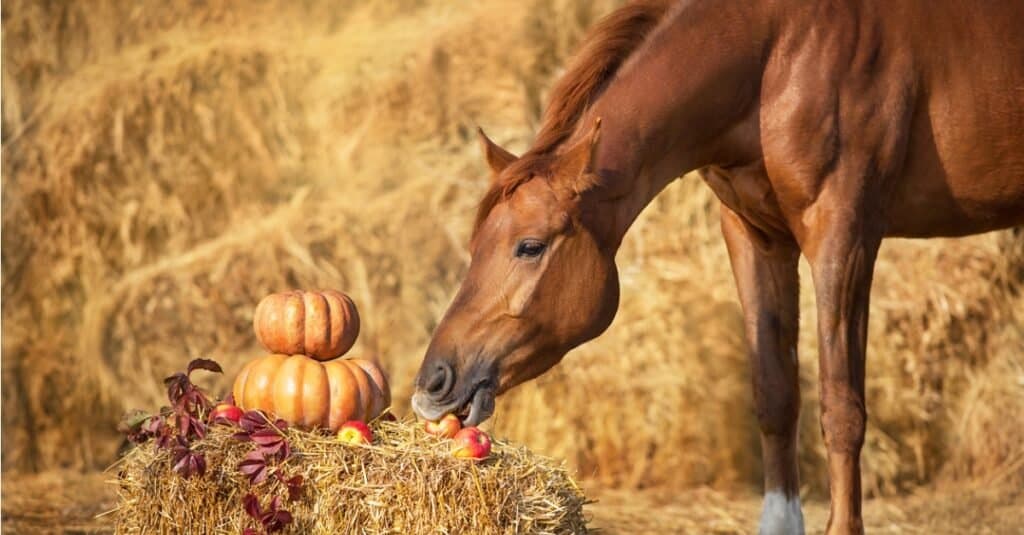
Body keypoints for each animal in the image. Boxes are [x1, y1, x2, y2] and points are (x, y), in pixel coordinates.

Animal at [410, 1, 1024, 533]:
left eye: (531, 246)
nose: (432, 382)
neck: (780, 55)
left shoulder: (843, 236)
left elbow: (841, 409)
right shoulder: (756, 236)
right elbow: (775, 395)